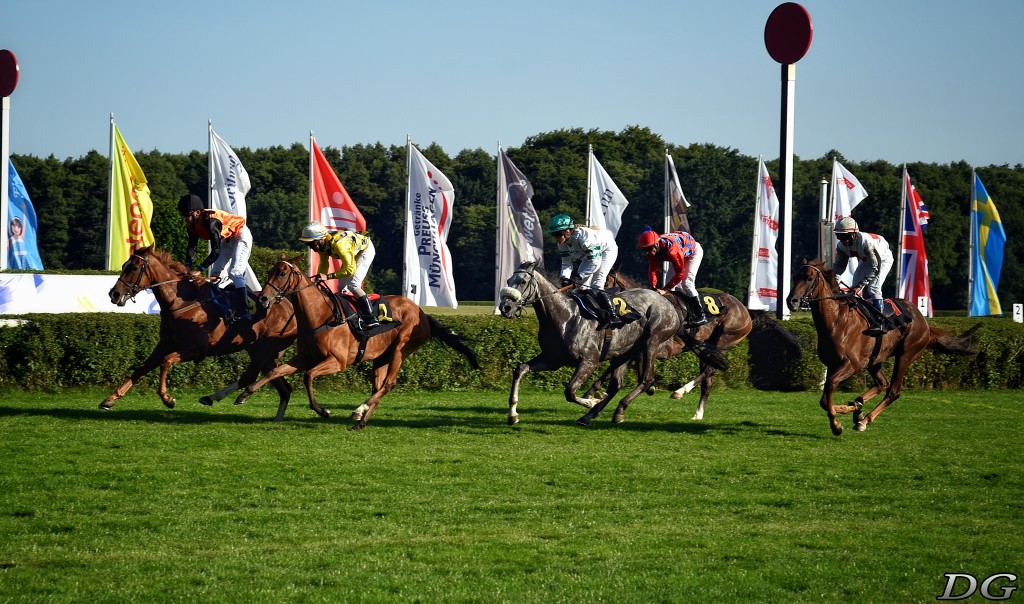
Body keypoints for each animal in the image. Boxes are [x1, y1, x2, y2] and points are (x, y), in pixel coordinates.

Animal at [104, 244, 296, 411]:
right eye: (124, 265)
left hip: (263, 349)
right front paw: (110, 399)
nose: (114, 294)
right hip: (262, 351)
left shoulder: (197, 349)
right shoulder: (165, 343)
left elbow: (165, 361)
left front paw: (167, 399)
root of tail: (288, 304)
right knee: (279, 383)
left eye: (134, 268)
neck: (180, 302)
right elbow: (142, 367)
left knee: (253, 376)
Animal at [234, 255, 481, 429]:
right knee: (379, 386)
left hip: (401, 349)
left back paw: (359, 410)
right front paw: (244, 394)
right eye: (271, 271)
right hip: (381, 357)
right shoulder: (304, 357)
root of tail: (421, 311)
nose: (264, 298)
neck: (320, 316)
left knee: (389, 384)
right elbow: (273, 371)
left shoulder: (338, 361)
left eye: (283, 272)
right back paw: (361, 420)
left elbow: (308, 376)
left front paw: (322, 411)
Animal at [495, 262, 696, 427]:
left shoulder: (589, 361)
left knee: (647, 379)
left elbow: (569, 391)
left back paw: (618, 408)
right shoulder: (552, 360)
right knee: (617, 384)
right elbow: (520, 369)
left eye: (522, 281)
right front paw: (513, 415)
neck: (565, 317)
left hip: (651, 342)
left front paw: (591, 400)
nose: (505, 308)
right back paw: (592, 416)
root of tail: (670, 304)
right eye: (509, 280)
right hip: (625, 351)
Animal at [786, 259, 978, 436]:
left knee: (893, 391)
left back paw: (863, 420)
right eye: (795, 276)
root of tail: (924, 323)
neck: (836, 321)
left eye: (809, 278)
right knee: (882, 384)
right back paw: (858, 407)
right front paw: (851, 410)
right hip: (874, 360)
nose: (791, 301)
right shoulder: (833, 364)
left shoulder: (852, 364)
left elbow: (830, 390)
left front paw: (837, 425)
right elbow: (825, 400)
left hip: (906, 355)